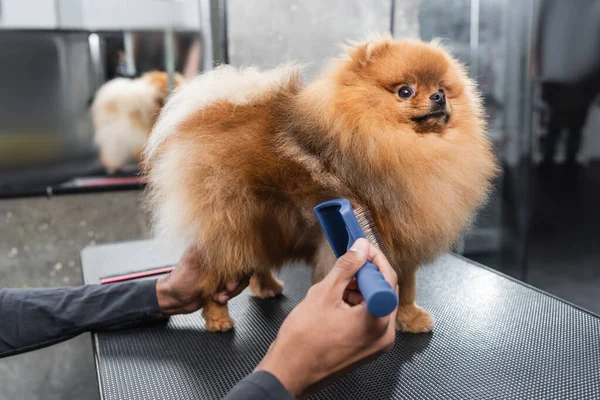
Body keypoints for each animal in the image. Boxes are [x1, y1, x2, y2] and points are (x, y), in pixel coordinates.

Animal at [144, 36, 496, 332]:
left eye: (443, 88)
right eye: (405, 91)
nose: (438, 97)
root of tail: (211, 115)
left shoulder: (403, 239)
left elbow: (407, 286)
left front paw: (409, 318)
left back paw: (265, 286)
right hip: (233, 225)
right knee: (212, 278)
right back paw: (218, 319)